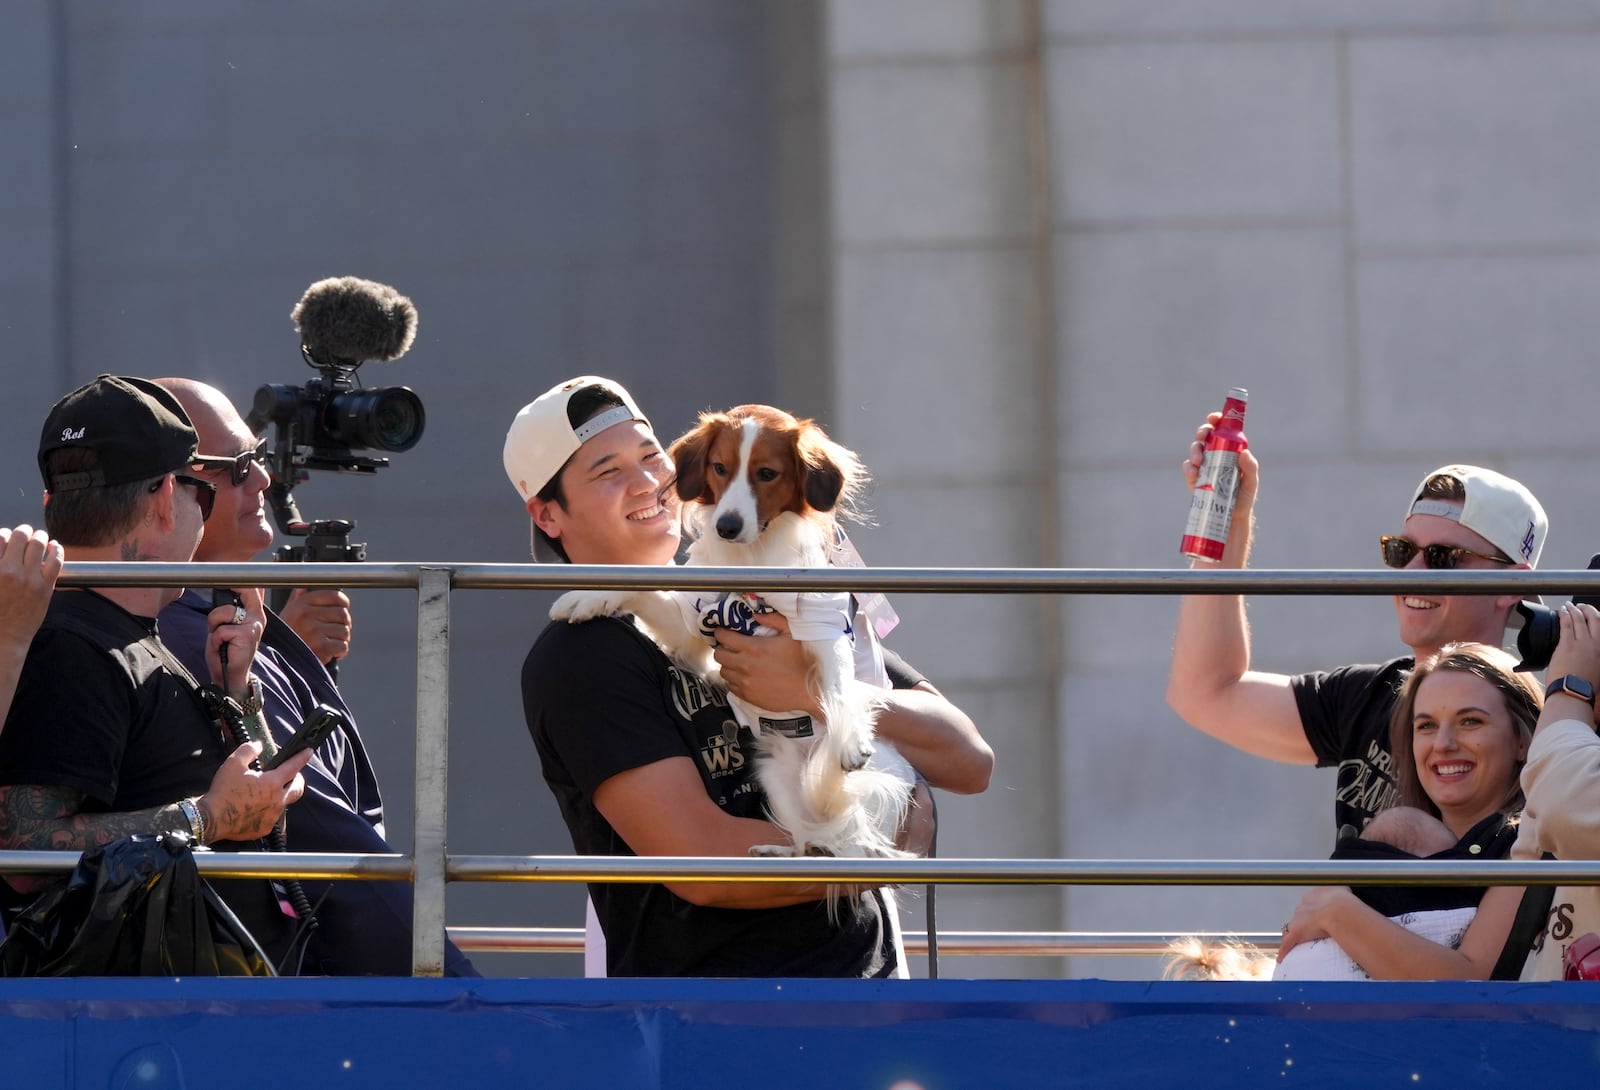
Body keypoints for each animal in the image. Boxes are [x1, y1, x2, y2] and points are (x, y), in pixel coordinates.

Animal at [553, 401, 915, 864]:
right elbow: (642, 589)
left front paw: (849, 740)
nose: (726, 525)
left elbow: (836, 687)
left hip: (881, 776)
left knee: (855, 847)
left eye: (767, 473)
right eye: (720, 467)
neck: (753, 562)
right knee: (808, 837)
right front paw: (586, 597)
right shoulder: (690, 625)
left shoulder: (823, 623)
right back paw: (786, 851)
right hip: (775, 772)